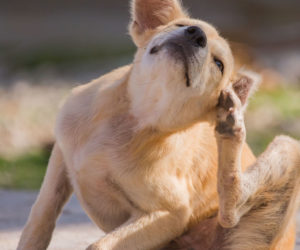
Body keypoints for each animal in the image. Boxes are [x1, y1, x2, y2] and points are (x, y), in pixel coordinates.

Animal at [18, 0, 300, 250]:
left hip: (288, 149)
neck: (136, 117)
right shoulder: (60, 156)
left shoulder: (169, 214)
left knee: (230, 211)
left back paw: (231, 128)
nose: (196, 34)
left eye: (219, 64)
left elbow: (99, 245)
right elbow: (40, 216)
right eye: (180, 25)